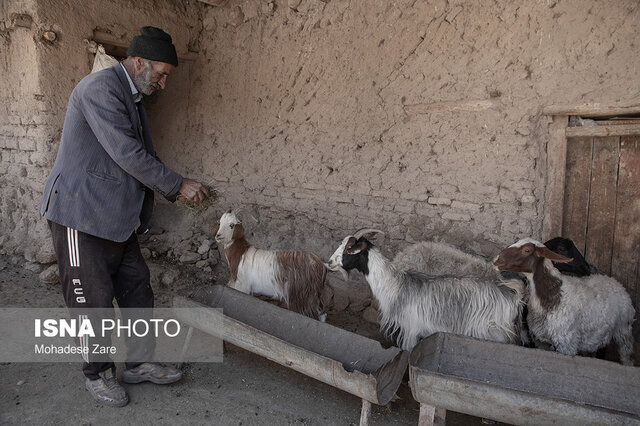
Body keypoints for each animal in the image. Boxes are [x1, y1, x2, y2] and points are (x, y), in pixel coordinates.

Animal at [324, 231, 524, 352]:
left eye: (349, 250)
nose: (330, 262)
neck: (396, 286)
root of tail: (513, 296)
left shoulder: (410, 331)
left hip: (494, 334)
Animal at [492, 238, 632, 364]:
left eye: (527, 250)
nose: (496, 260)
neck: (552, 295)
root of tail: (613, 281)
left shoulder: (566, 342)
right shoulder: (541, 341)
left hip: (624, 329)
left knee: (626, 355)